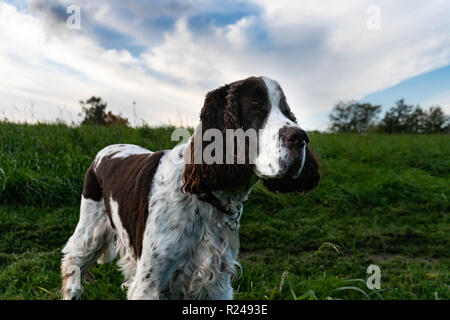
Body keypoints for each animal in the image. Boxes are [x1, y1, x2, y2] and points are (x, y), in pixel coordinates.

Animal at [60, 75, 320, 300]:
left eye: (286, 111)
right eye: (256, 107)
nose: (301, 137)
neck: (206, 197)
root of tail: (106, 150)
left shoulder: (217, 283)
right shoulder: (151, 283)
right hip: (90, 229)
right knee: (73, 261)